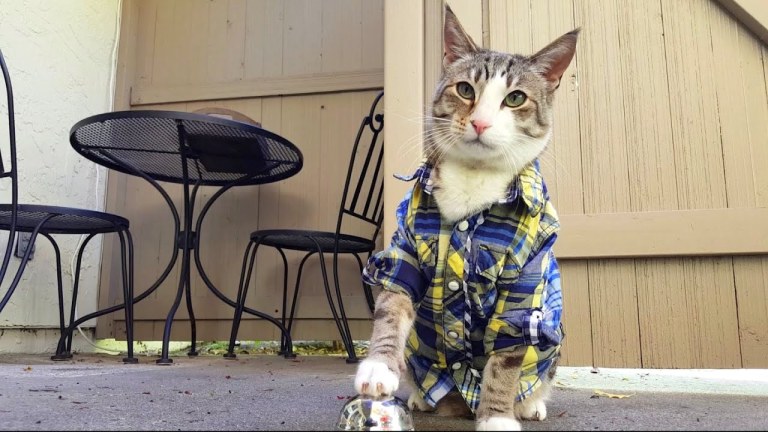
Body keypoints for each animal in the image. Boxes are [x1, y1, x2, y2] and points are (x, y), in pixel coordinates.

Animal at [356, 5, 580, 430]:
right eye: (464, 90)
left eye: (516, 98)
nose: (480, 122)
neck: (474, 183)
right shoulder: (407, 246)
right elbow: (394, 300)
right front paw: (378, 368)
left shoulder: (528, 275)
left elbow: (509, 351)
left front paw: (497, 417)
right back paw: (422, 398)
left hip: (553, 341)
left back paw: (529, 404)